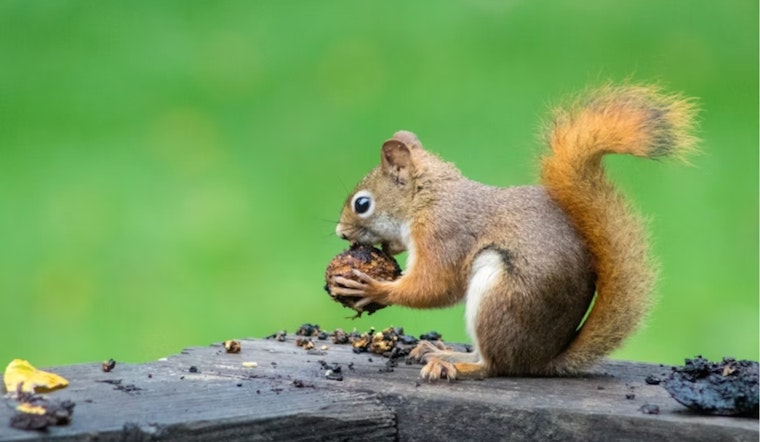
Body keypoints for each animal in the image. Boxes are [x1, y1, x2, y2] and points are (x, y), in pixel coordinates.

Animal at [330, 85, 697, 380]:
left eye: (362, 204)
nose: (340, 232)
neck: (428, 198)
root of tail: (541, 360)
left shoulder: (444, 233)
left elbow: (435, 285)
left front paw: (373, 287)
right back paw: (439, 350)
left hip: (499, 296)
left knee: (494, 365)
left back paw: (455, 364)